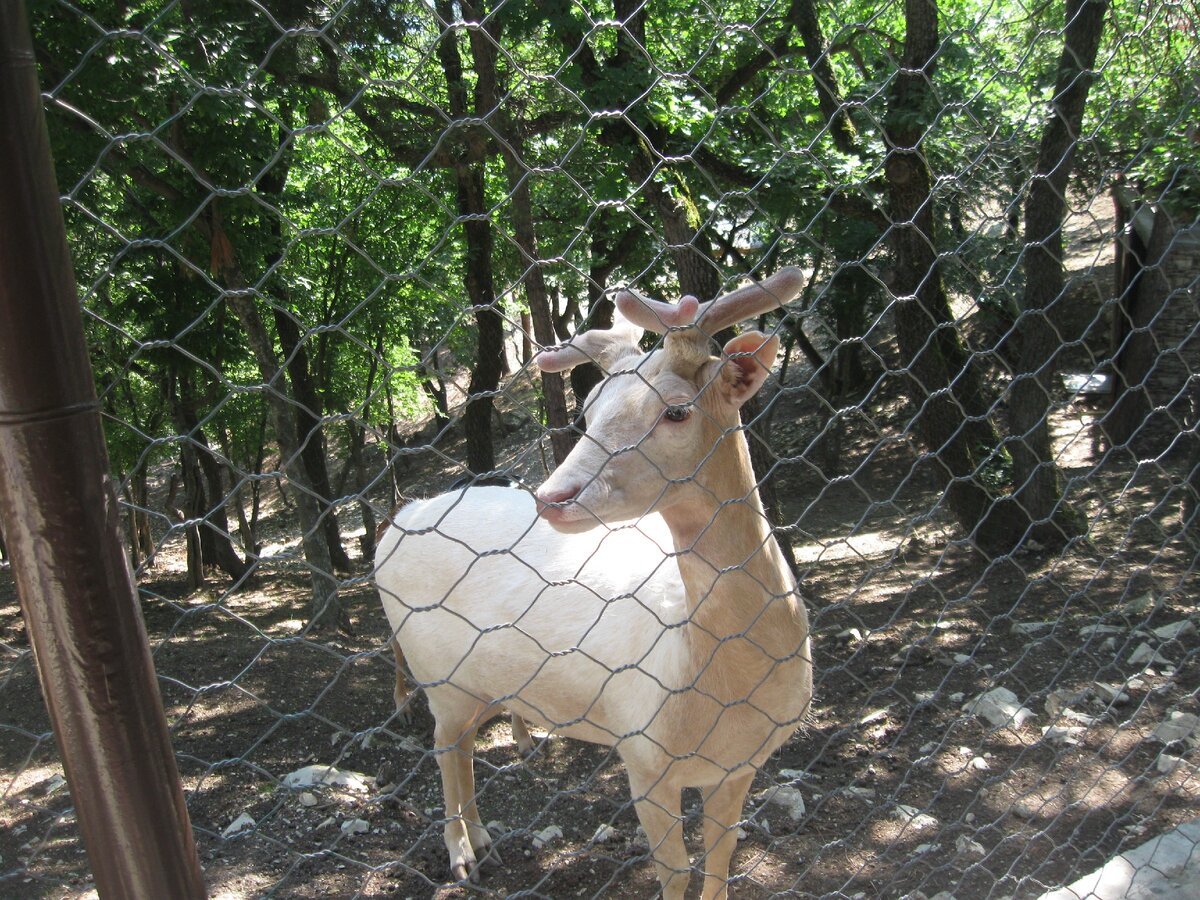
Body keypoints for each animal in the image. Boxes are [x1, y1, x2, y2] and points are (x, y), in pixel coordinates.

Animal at [374, 270, 811, 900]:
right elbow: (675, 870)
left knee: (465, 744)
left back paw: (485, 833)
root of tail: (399, 521)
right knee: (445, 746)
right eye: (590, 405)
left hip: (479, 681)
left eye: (677, 411)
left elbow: (722, 858)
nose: (553, 496)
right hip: (436, 672)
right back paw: (462, 854)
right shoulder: (642, 753)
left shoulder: (742, 764)